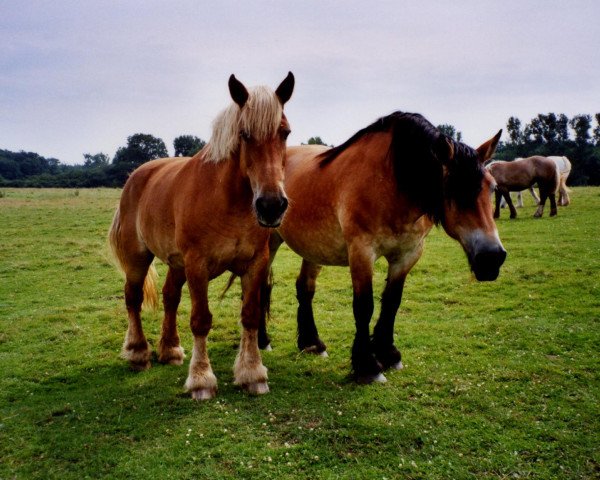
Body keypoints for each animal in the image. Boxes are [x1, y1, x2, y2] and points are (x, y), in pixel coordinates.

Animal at [109, 72, 296, 402]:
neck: (228, 201)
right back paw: (138, 353)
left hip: (176, 264)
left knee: (170, 297)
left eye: (284, 132)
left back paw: (169, 350)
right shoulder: (197, 265)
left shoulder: (255, 263)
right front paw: (201, 380)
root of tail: (135, 176)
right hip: (138, 258)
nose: (271, 205)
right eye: (244, 134)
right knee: (132, 298)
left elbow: (250, 315)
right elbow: (200, 320)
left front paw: (252, 374)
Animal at [258, 111, 506, 382]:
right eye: (452, 190)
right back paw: (262, 341)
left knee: (305, 287)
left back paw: (312, 343)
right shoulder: (362, 252)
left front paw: (388, 354)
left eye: (492, 187)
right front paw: (367, 366)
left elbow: (392, 301)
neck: (392, 182)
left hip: (314, 247)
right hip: (269, 243)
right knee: (261, 286)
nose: (492, 258)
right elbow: (364, 306)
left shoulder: (408, 254)